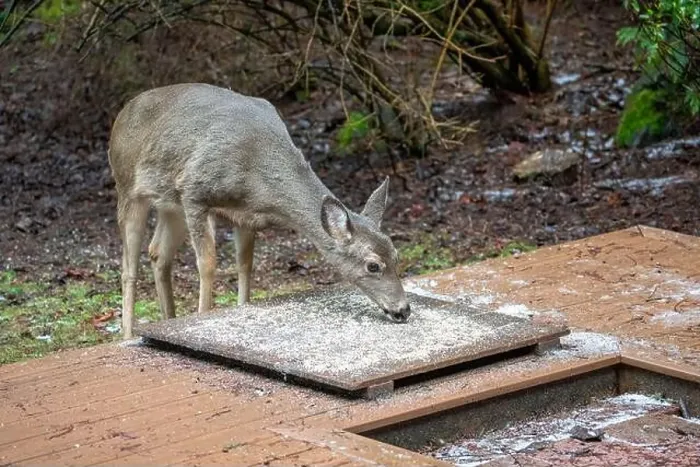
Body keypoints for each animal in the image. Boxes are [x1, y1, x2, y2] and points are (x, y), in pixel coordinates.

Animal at [108, 83, 411, 339]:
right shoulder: (194, 191)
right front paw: (202, 316)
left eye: (397, 256)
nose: (403, 309)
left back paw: (168, 318)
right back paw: (128, 335)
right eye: (373, 265)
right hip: (128, 187)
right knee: (128, 267)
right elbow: (207, 264)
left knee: (158, 252)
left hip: (170, 205)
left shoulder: (246, 216)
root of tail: (121, 115)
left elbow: (245, 265)